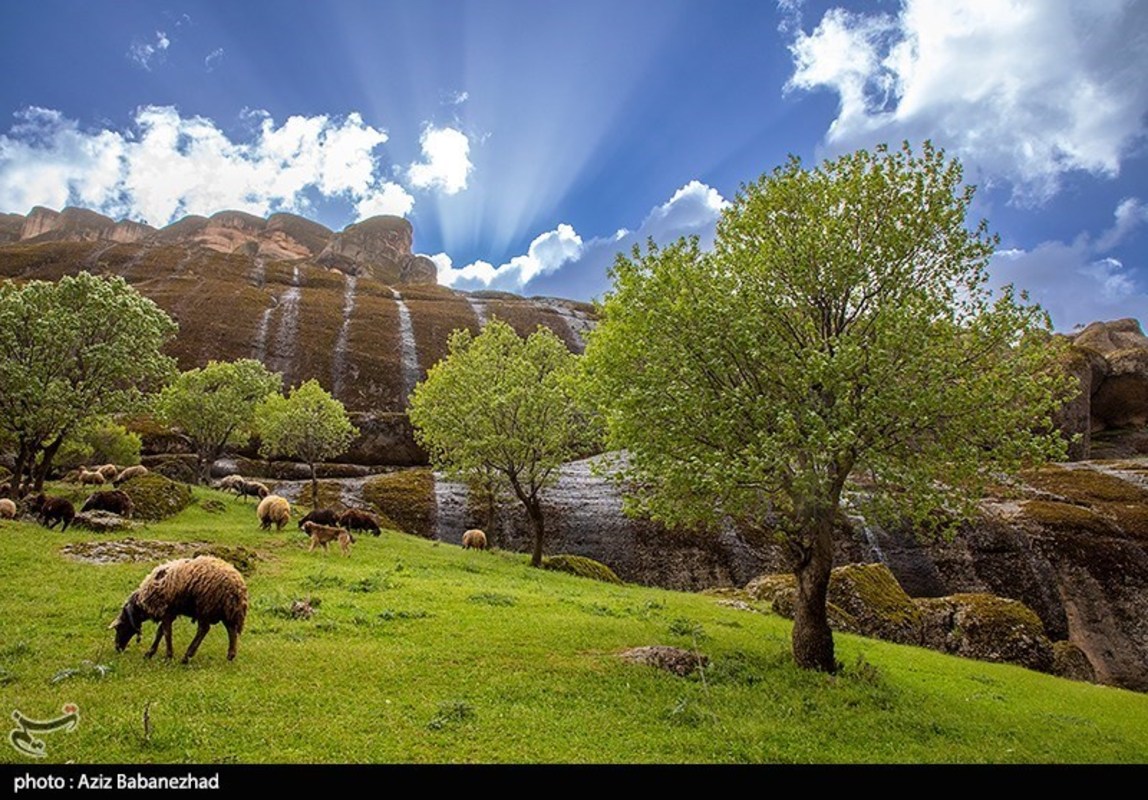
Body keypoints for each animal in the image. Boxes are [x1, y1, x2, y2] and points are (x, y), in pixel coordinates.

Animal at [108, 555, 247, 661]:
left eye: (119, 627)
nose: (117, 648)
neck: (141, 604)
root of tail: (237, 585)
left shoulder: (165, 611)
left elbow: (166, 632)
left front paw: (168, 656)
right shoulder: (169, 612)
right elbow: (160, 631)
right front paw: (150, 653)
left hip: (206, 606)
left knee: (203, 629)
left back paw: (187, 656)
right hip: (227, 610)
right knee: (231, 630)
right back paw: (230, 656)